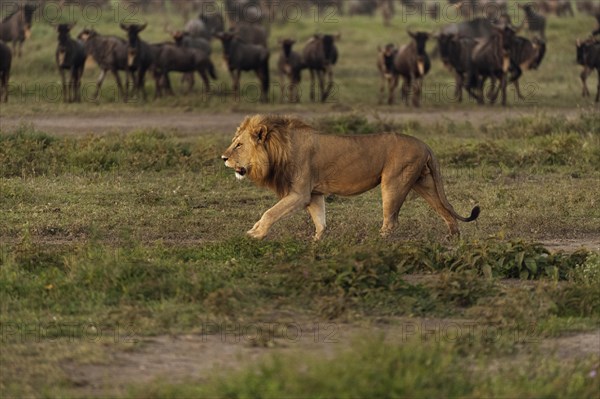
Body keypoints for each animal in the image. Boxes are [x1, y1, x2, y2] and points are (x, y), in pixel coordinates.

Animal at [220, 115, 478, 241]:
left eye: (238, 145)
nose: (223, 157)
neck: (279, 147)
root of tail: (425, 144)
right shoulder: (314, 193)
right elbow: (320, 221)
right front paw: (316, 242)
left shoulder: (299, 193)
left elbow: (270, 212)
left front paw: (255, 234)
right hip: (423, 183)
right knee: (446, 212)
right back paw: (452, 239)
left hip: (394, 182)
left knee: (391, 221)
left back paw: (376, 241)